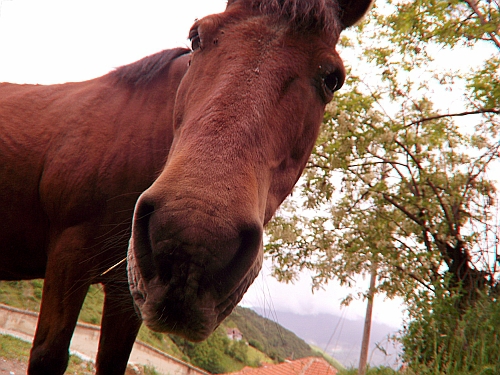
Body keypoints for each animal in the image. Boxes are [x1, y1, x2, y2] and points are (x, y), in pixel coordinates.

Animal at [0, 1, 372, 374]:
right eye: (196, 37)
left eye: (333, 79)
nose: (192, 248)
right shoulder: (69, 258)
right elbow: (48, 354)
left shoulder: (126, 289)